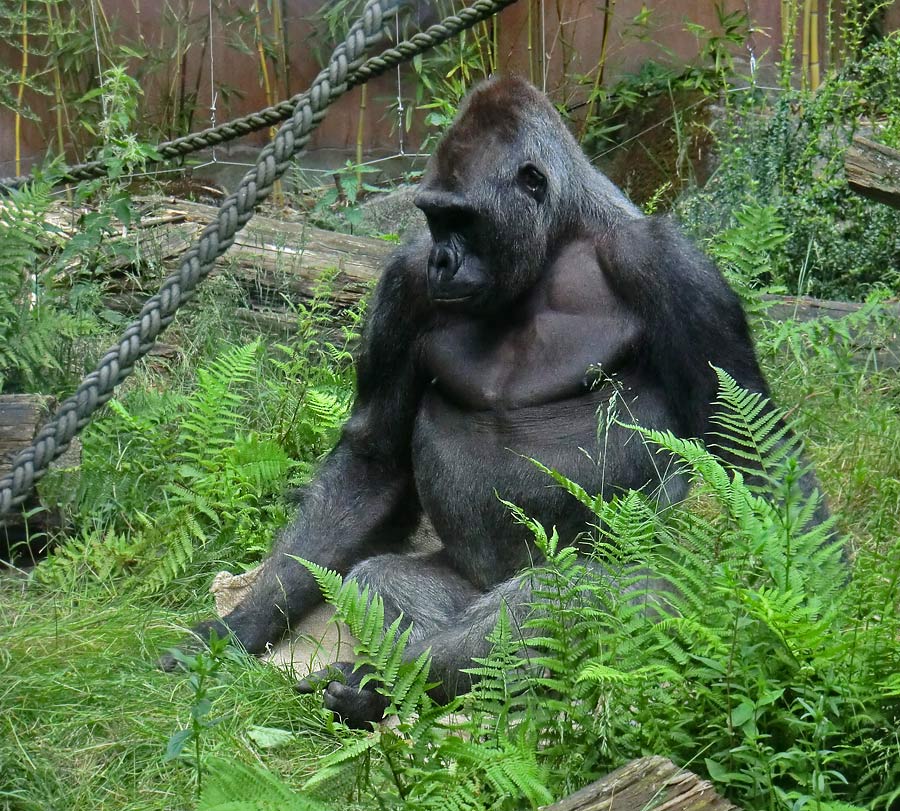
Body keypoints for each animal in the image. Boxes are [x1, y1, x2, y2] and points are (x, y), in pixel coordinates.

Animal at [160, 74, 824, 724]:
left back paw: (396, 680)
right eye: (433, 220)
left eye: (462, 220)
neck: (560, 240)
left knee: (566, 594)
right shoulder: (404, 281)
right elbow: (374, 459)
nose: (440, 260)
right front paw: (241, 625)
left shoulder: (674, 266)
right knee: (385, 579)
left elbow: (751, 451)